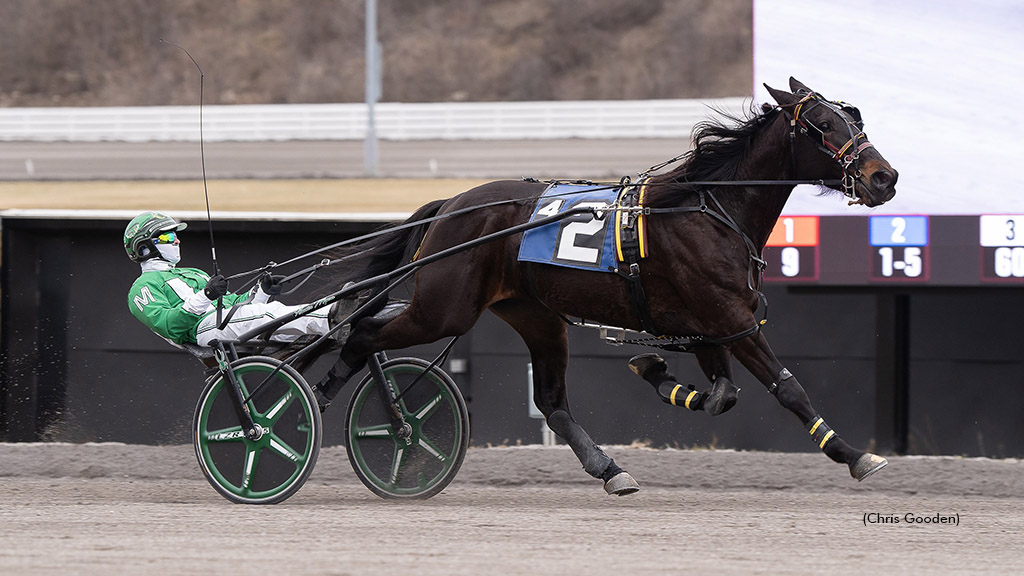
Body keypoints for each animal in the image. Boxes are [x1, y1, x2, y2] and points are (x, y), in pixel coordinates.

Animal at [311, 77, 897, 494]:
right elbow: (787, 387)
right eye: (822, 123)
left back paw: (611, 469)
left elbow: (722, 395)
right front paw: (855, 456)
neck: (707, 209)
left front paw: (658, 371)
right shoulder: (732, 319)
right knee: (362, 335)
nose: (884, 177)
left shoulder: (711, 326)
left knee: (551, 402)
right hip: (444, 308)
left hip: (536, 317)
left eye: (854, 116)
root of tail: (453, 203)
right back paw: (316, 405)